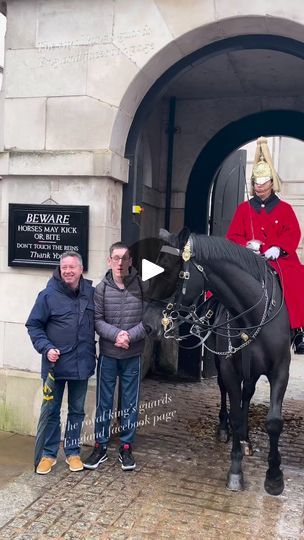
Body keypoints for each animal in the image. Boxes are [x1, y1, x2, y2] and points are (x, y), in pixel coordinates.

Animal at [144, 228, 290, 494]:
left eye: (169, 271)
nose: (148, 324)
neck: (253, 316)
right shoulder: (230, 369)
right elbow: (235, 414)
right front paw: (236, 471)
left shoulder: (280, 371)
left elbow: (274, 422)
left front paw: (274, 476)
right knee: (227, 395)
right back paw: (227, 431)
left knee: (247, 396)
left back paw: (246, 439)